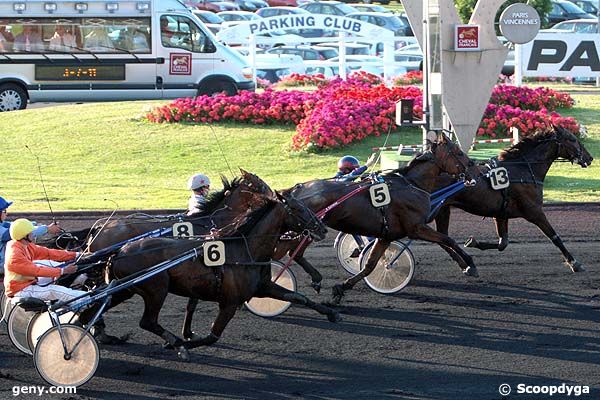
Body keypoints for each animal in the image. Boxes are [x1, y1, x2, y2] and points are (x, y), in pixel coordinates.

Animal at [86, 189, 336, 360]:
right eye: (299, 209)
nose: (322, 228)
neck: (245, 250)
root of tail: (119, 251)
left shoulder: (263, 287)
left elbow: (298, 297)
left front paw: (331, 313)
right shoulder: (230, 302)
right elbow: (213, 336)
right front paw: (183, 343)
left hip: (124, 289)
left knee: (96, 308)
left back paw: (100, 333)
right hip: (156, 289)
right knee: (147, 321)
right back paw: (174, 343)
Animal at [286, 135, 478, 304]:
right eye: (458, 152)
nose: (473, 166)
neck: (413, 185)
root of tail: (296, 190)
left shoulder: (387, 236)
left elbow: (369, 265)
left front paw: (341, 289)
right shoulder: (416, 228)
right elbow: (448, 240)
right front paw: (470, 264)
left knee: (296, 253)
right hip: (310, 229)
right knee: (295, 252)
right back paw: (313, 278)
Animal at [434, 126, 592, 272]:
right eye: (572, 139)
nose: (589, 158)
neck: (522, 170)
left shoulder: (501, 214)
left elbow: (502, 243)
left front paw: (472, 242)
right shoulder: (535, 212)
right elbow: (554, 236)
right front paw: (574, 263)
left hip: (443, 209)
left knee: (442, 238)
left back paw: (465, 265)